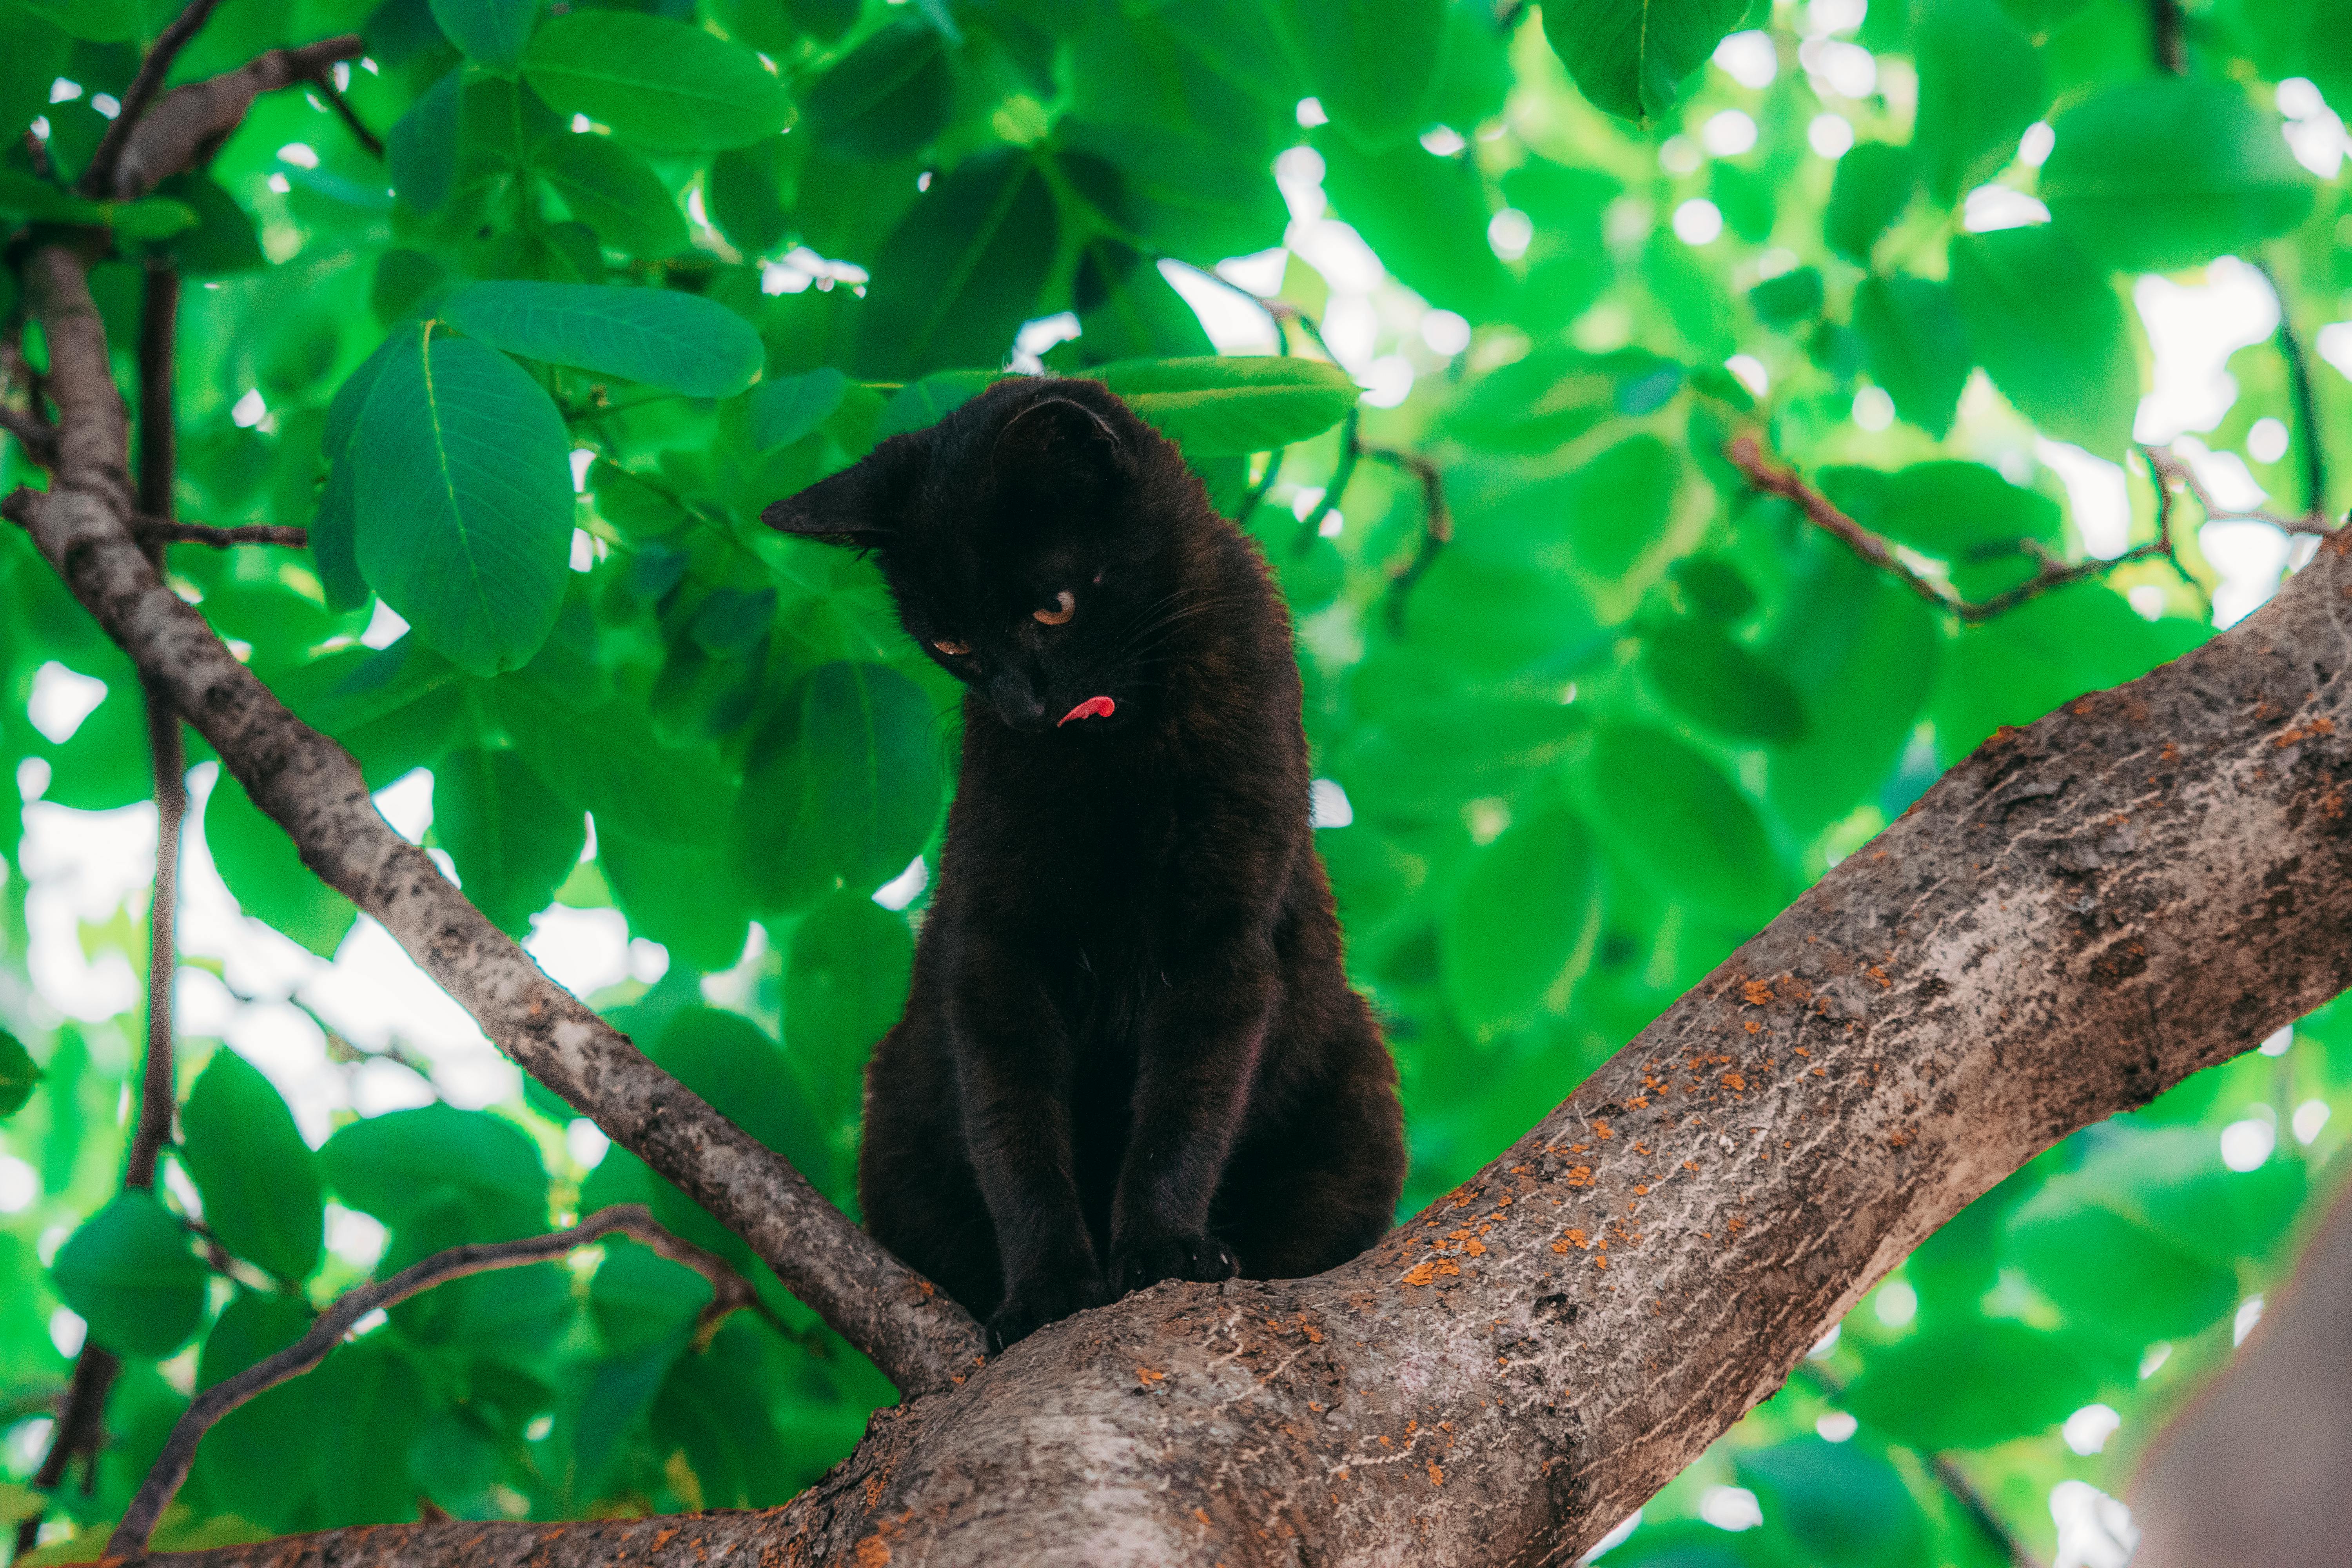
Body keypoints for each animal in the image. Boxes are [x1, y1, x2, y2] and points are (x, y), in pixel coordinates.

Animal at [762, 374, 1402, 1354]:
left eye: (1052, 607)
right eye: (952, 644)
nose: (1023, 707)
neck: (1118, 758)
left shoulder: (1220, 936)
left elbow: (1184, 1111)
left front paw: (1164, 1250)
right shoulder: (997, 944)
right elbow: (1018, 1132)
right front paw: (1050, 1288)